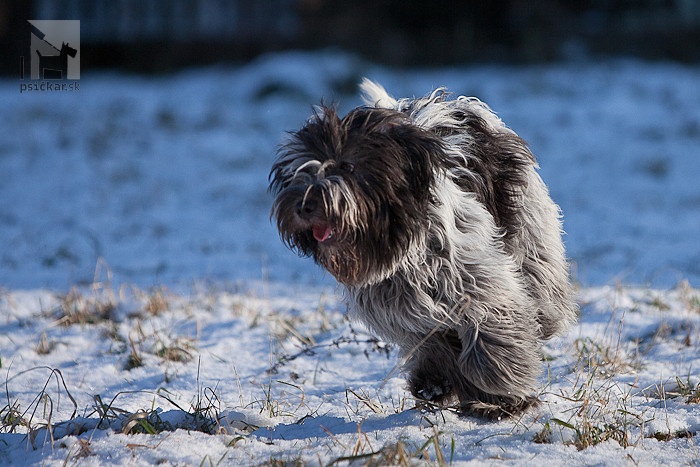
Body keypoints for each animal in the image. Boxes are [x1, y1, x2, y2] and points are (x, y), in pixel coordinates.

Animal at [268, 79, 576, 420]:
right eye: (300, 170)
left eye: (347, 166)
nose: (303, 205)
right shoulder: (402, 311)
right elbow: (433, 343)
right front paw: (439, 382)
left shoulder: (482, 286)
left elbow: (492, 339)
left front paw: (499, 393)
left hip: (530, 234)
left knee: (540, 285)